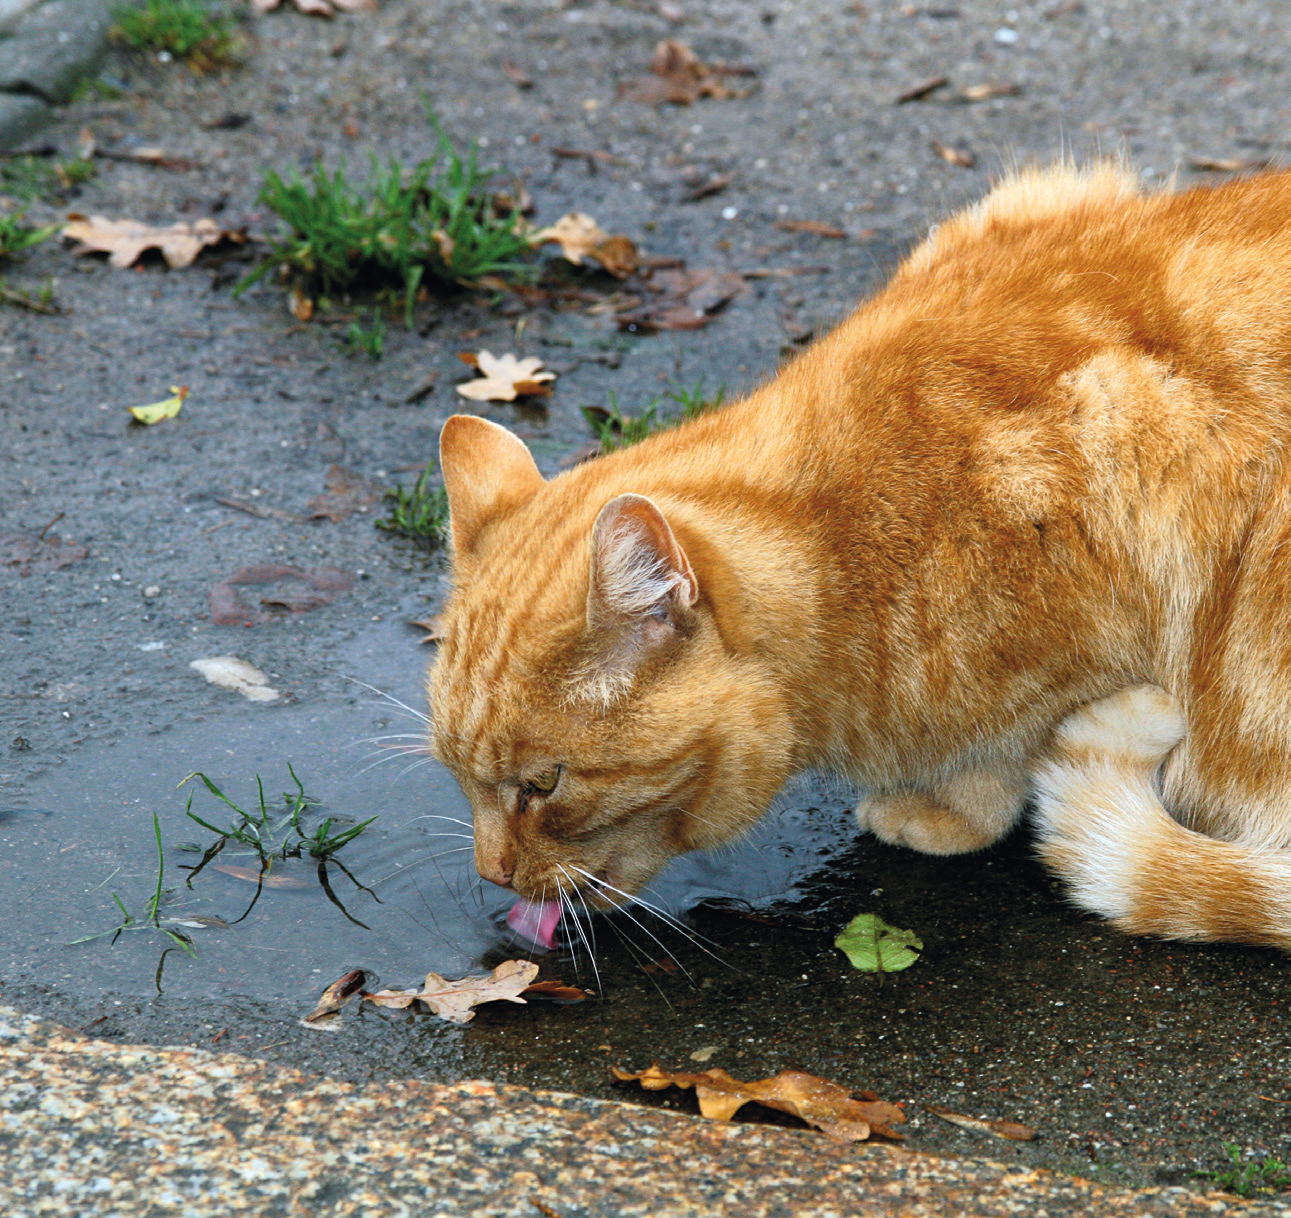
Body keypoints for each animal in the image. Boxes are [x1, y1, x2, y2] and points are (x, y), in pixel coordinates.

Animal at [426, 166, 1291, 950]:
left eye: (542, 785)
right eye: (458, 777)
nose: (490, 874)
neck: (843, 542)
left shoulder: (1127, 461)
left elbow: (1015, 741)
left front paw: (948, 807)